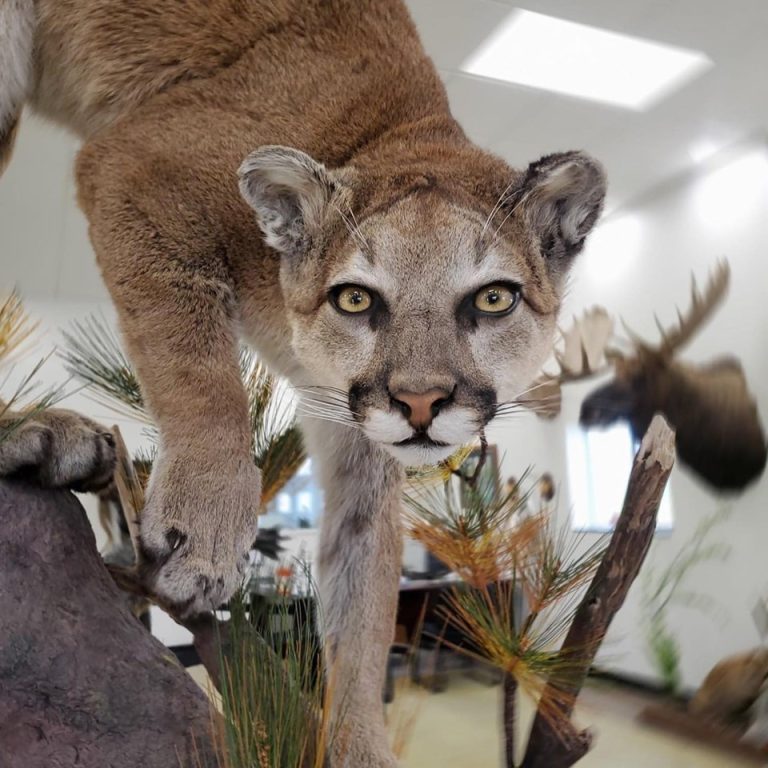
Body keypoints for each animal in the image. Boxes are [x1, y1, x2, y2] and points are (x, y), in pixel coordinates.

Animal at [0, 2, 606, 765]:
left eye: (494, 299)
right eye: (355, 299)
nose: (419, 402)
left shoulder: (359, 445)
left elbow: (365, 601)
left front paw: (359, 745)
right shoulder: (133, 165)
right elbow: (201, 376)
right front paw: (203, 537)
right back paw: (40, 434)